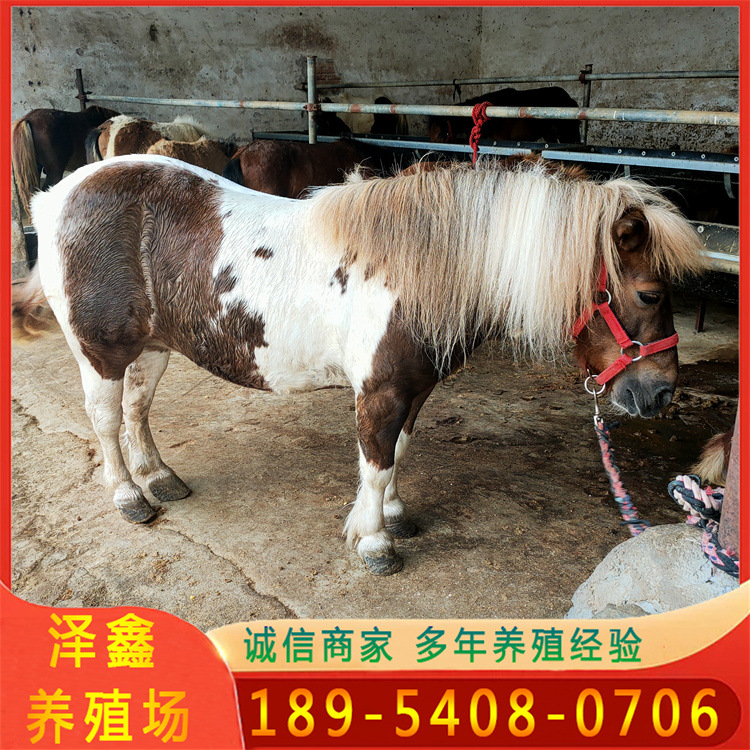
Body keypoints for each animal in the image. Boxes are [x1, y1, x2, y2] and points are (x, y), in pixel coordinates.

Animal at [12, 153, 705, 576]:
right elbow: (374, 461)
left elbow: (398, 452)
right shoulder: (379, 391)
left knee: (137, 409)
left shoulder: (415, 390)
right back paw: (130, 496)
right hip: (101, 351)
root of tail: (59, 195)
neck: (420, 270)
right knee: (106, 420)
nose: (661, 394)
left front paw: (395, 516)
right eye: (650, 294)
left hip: (155, 346)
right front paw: (374, 541)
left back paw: (160, 478)